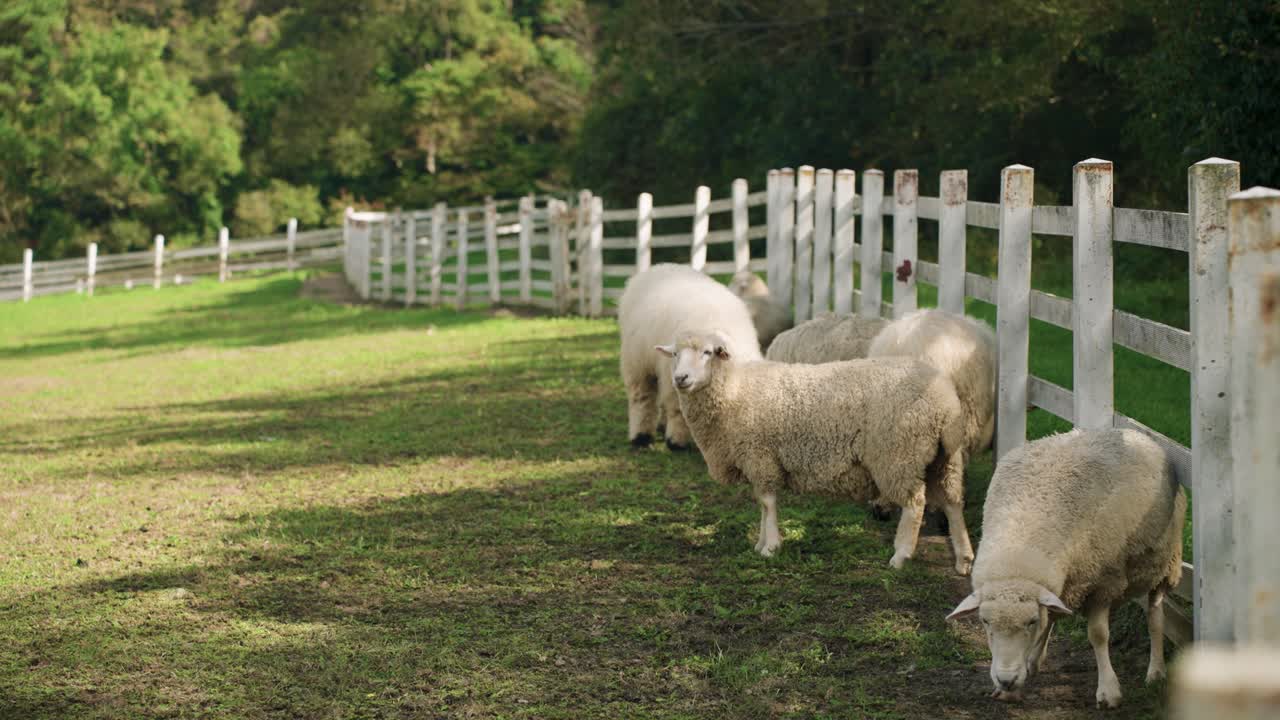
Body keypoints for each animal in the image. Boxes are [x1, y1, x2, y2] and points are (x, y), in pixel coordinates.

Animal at [619, 264, 762, 450]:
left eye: (708, 353)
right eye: (676, 353)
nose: (682, 377)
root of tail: (661, 266)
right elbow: (678, 411)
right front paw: (675, 442)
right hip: (638, 362)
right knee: (642, 398)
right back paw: (641, 437)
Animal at [657, 330, 974, 574]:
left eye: (708, 352)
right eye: (675, 354)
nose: (681, 378)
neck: (734, 389)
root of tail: (945, 400)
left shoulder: (761, 456)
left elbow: (767, 502)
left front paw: (770, 546)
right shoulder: (758, 460)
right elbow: (762, 504)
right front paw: (761, 542)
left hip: (898, 454)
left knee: (914, 503)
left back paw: (901, 555)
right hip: (943, 457)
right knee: (952, 502)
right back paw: (964, 559)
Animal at [945, 428, 1186, 709]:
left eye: (1030, 621)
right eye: (984, 621)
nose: (1006, 680)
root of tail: (1135, 433)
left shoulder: (1103, 583)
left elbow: (1098, 635)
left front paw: (1109, 691)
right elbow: (1051, 620)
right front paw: (1012, 686)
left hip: (1165, 564)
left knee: (1156, 617)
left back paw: (1156, 671)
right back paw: (1035, 660)